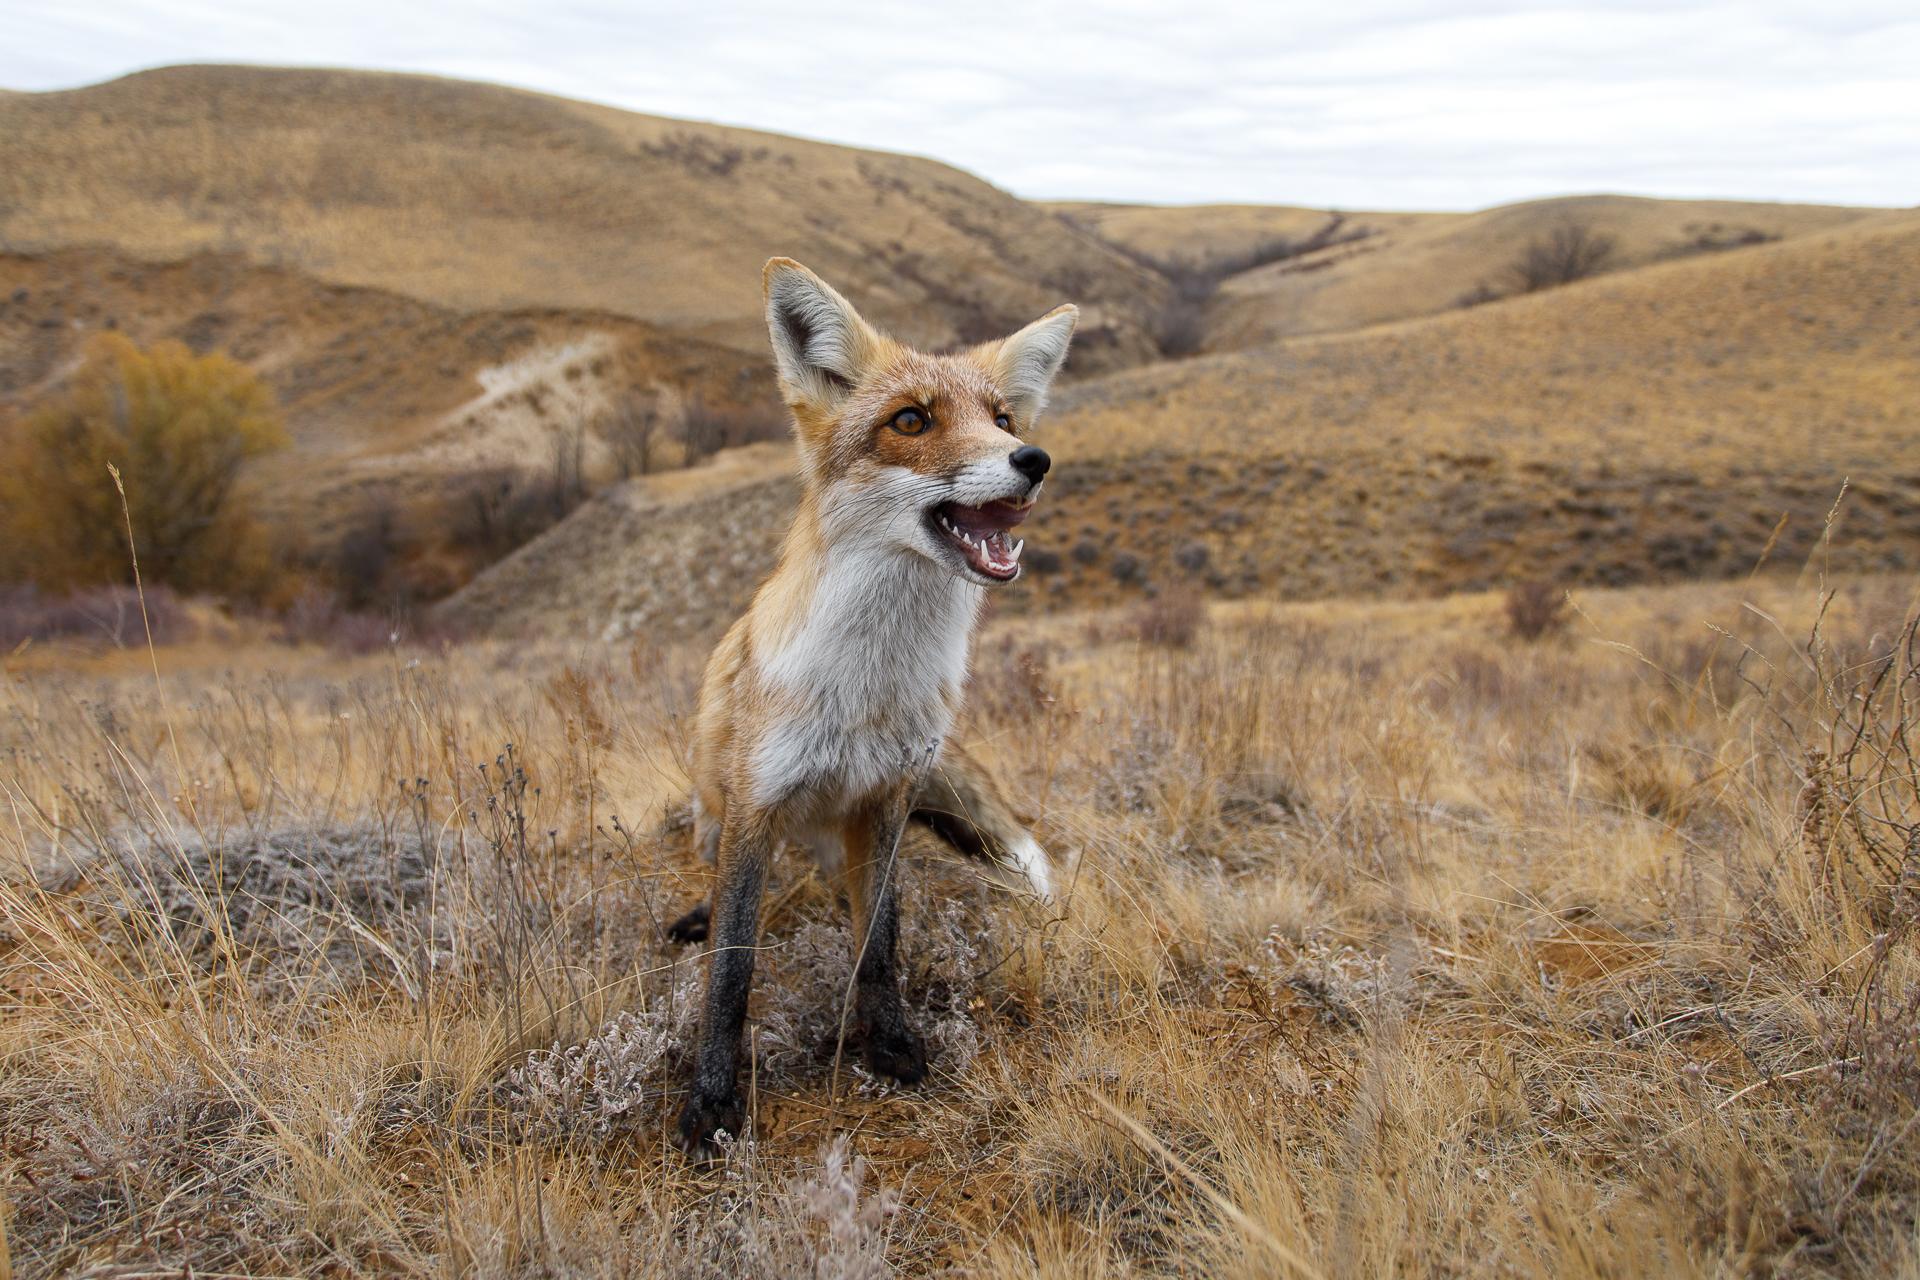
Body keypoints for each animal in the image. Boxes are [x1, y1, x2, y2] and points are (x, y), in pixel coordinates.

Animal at [668, 257, 1075, 1151]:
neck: (871, 689)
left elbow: (881, 942)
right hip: (716, 804)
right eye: (911, 420)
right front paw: (712, 1099)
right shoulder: (756, 805)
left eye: (1001, 418)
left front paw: (888, 1043)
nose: (1033, 458)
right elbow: (732, 964)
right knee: (714, 879)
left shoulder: (889, 798)